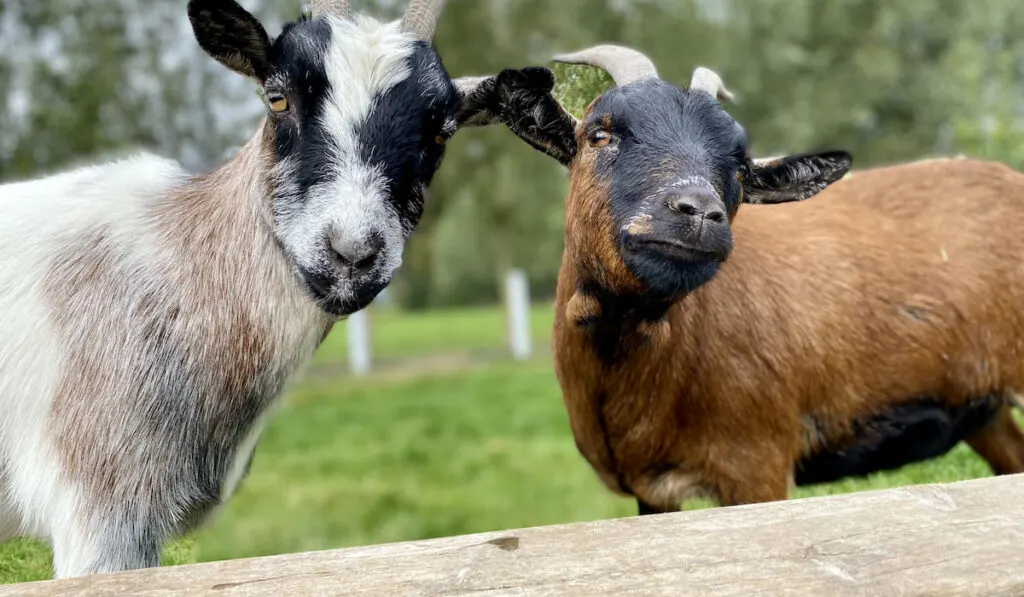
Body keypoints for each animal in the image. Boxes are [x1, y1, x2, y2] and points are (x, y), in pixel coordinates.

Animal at [473, 45, 1024, 514]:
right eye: (599, 134)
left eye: (739, 167)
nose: (699, 212)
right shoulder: (650, 489)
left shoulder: (757, 464)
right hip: (985, 409)